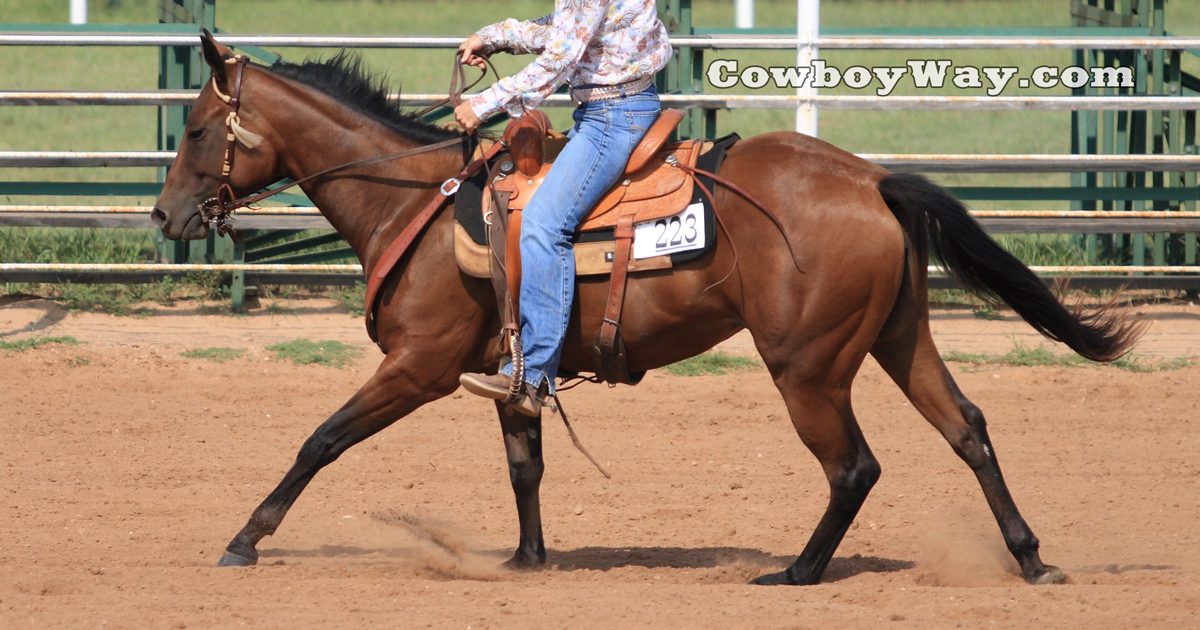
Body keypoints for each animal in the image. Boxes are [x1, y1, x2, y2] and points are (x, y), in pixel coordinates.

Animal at [151, 32, 1141, 586]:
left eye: (197, 130)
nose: (163, 218)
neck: (415, 204)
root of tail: (869, 179)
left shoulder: (419, 367)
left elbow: (321, 439)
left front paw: (245, 540)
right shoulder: (513, 368)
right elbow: (525, 465)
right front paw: (527, 561)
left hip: (808, 366)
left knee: (854, 467)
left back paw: (798, 572)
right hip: (899, 339)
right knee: (967, 427)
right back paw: (1030, 557)